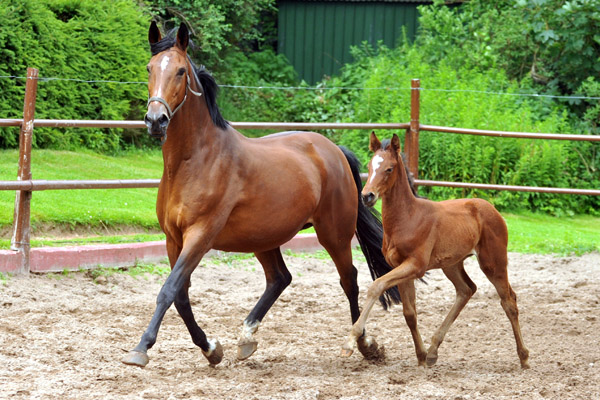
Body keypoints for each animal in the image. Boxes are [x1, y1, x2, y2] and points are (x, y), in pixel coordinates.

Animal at [342, 133, 528, 370]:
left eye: (389, 169)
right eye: (369, 165)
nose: (367, 196)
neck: (408, 217)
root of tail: (492, 209)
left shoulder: (416, 266)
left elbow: (377, 286)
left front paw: (350, 341)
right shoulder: (401, 267)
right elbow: (409, 313)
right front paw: (421, 356)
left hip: (493, 262)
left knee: (509, 301)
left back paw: (524, 357)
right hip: (452, 264)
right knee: (466, 290)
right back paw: (432, 351)